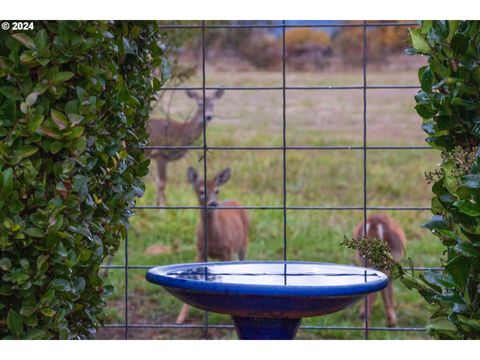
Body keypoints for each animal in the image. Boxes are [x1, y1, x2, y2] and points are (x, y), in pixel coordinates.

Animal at [176, 167, 251, 324]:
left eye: (217, 190)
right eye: (201, 191)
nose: (213, 203)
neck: (213, 238)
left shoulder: (228, 250)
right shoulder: (200, 250)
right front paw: (181, 317)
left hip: (243, 243)